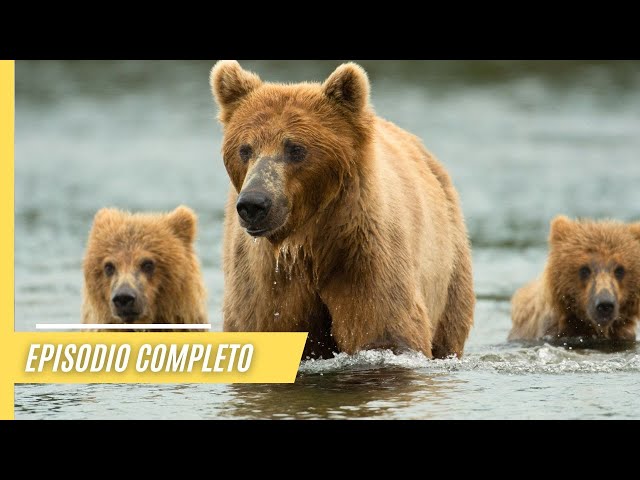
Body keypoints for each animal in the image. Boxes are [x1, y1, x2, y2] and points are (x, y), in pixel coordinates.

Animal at [209, 60, 475, 359]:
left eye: (295, 148)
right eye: (245, 149)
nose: (254, 203)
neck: (310, 241)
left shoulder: (363, 254)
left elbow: (385, 330)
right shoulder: (266, 279)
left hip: (449, 263)